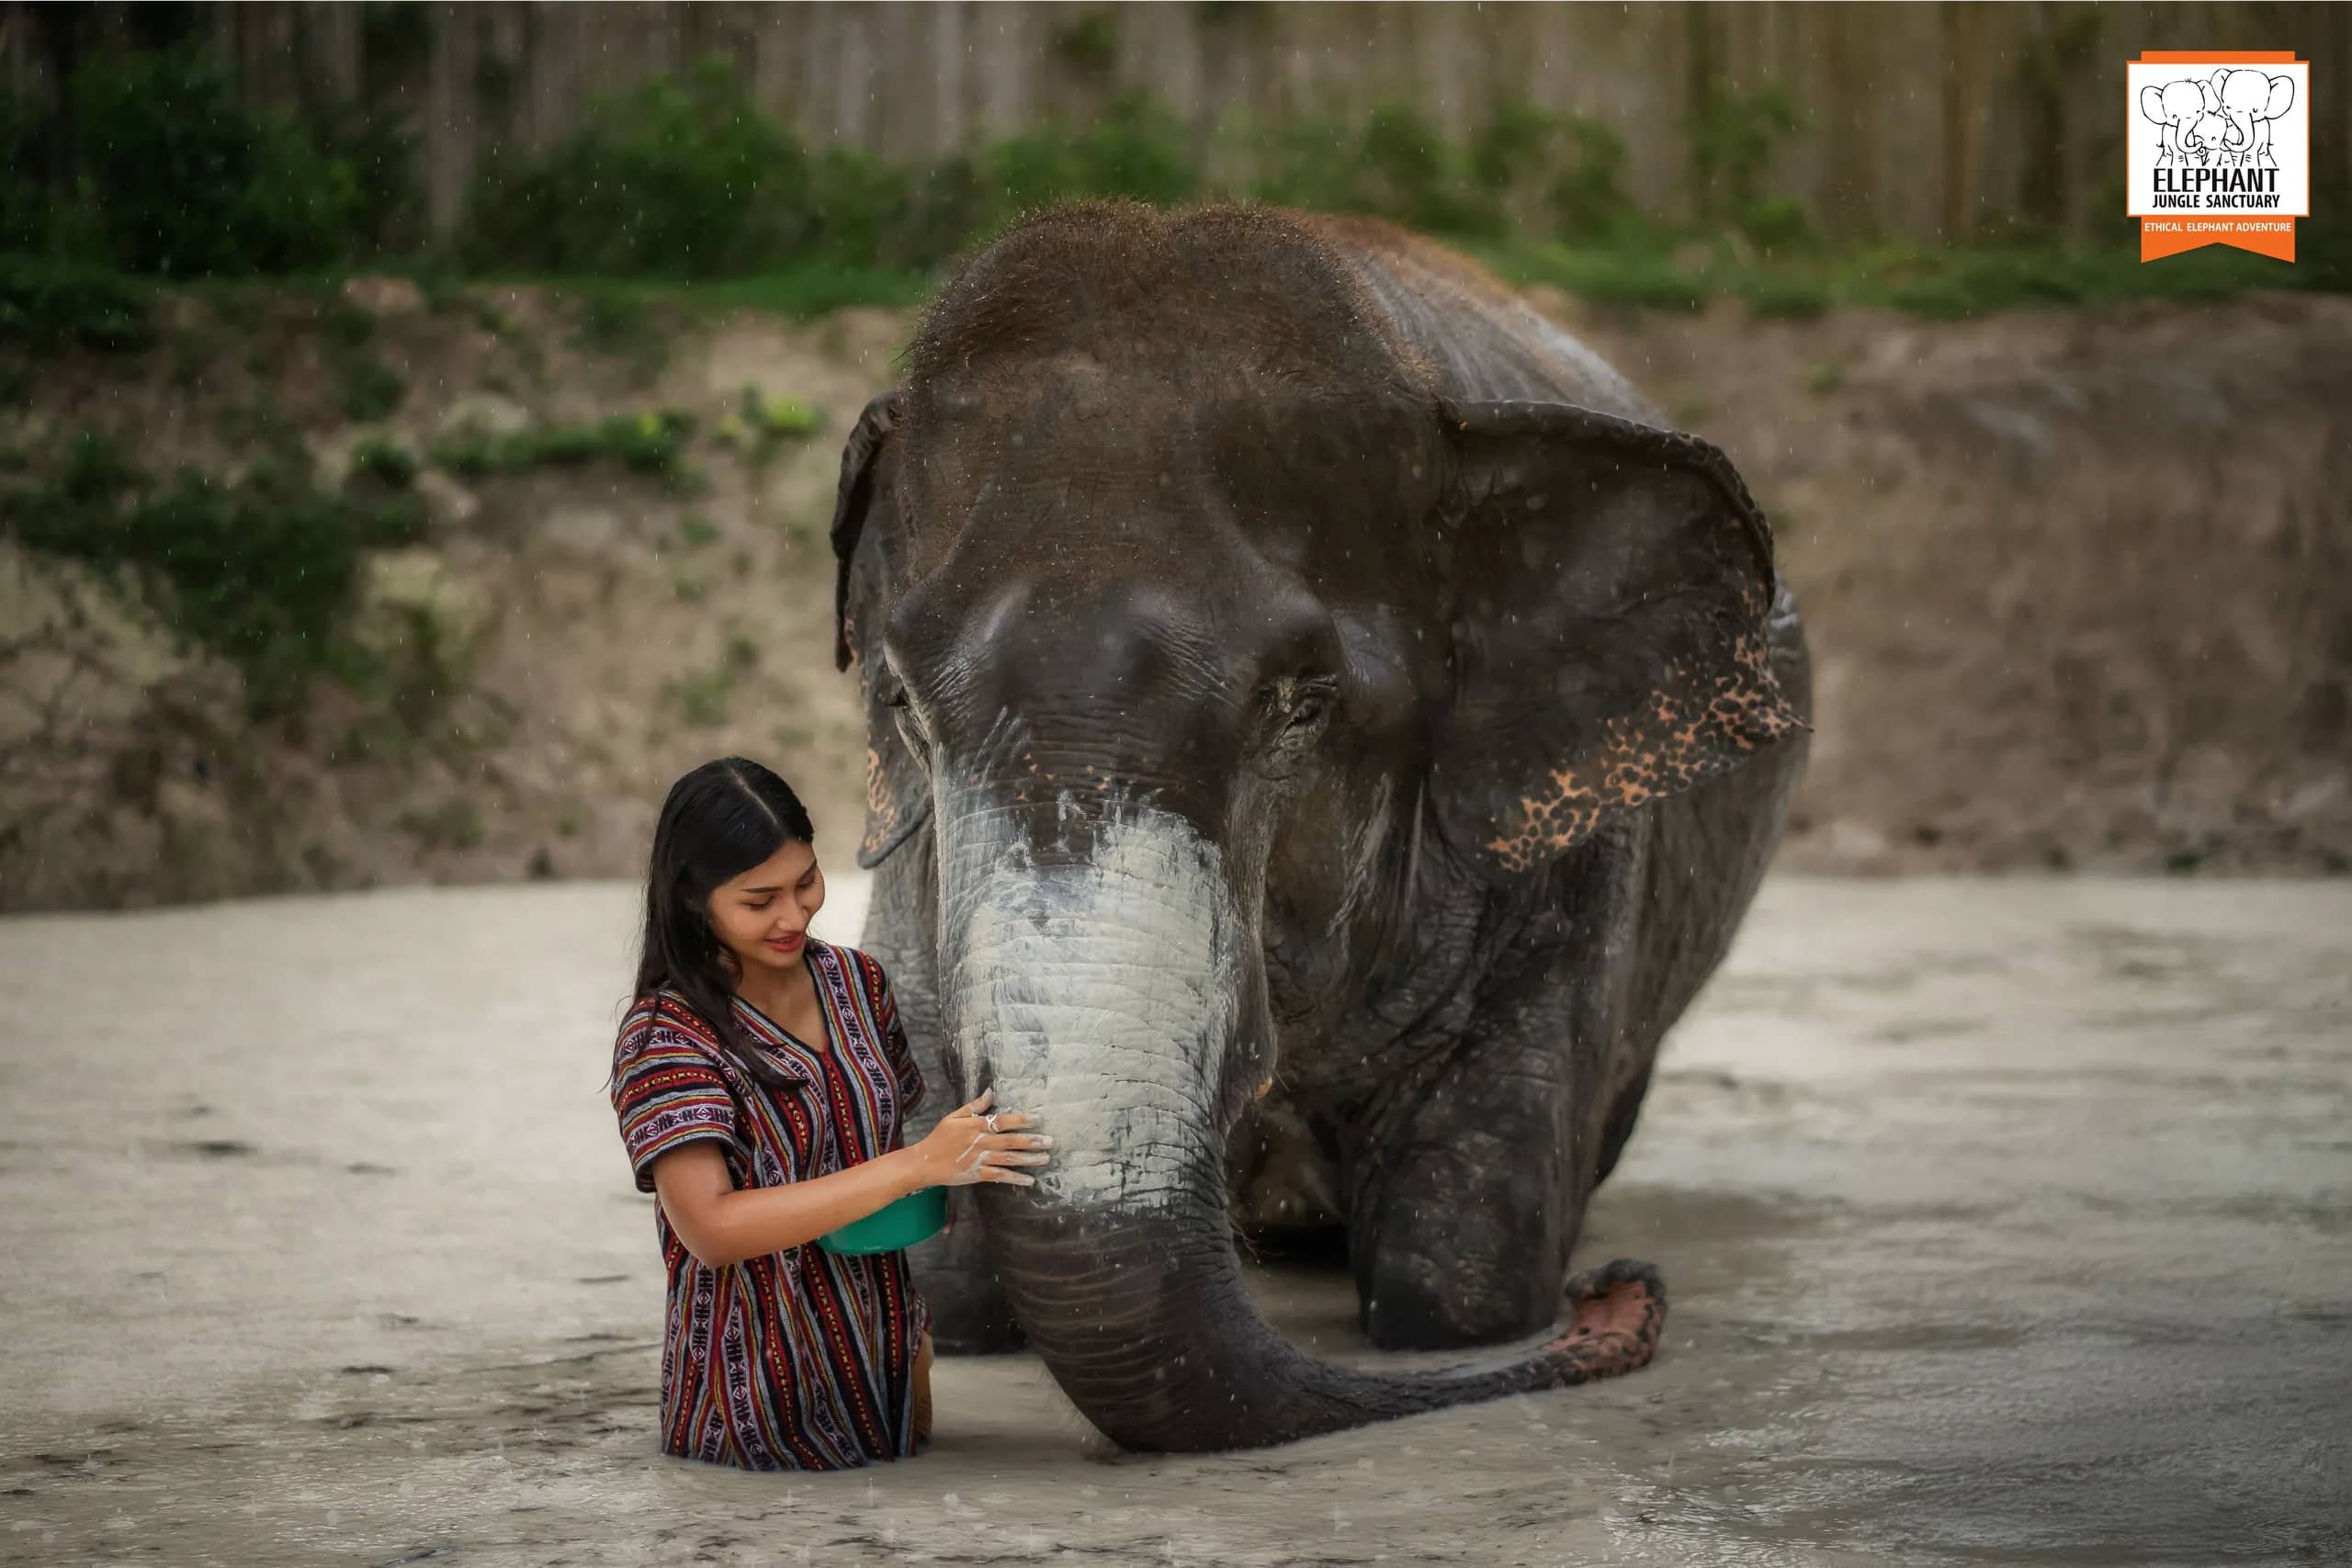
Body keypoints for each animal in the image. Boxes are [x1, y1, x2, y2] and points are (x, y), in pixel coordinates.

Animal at [828, 200, 1813, 1454]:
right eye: (904, 700)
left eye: (1300, 705)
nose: (1619, 1294)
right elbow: (945, 1282)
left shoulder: (1572, 864)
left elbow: (1458, 1278)